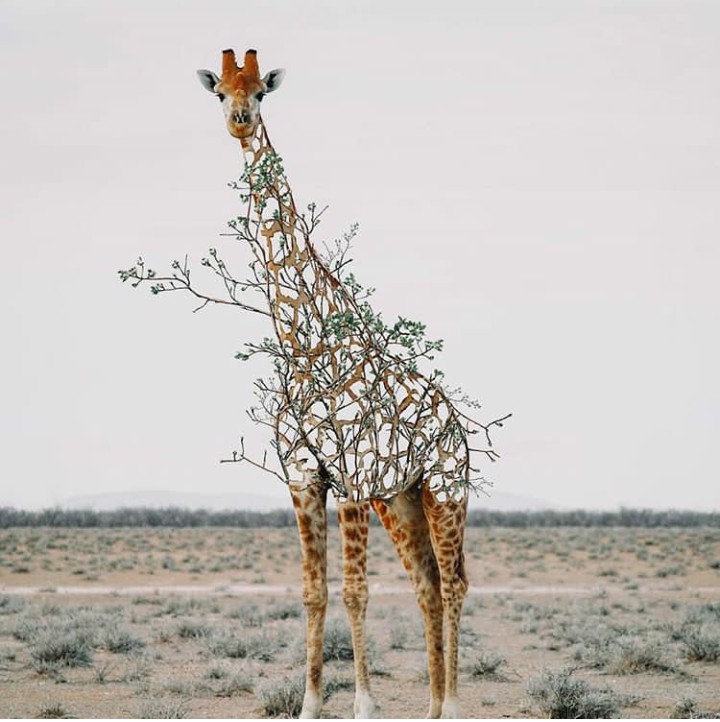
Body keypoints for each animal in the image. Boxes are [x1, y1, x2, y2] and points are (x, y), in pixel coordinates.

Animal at [198, 48, 480, 719]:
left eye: (261, 94)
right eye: (219, 92)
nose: (240, 121)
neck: (307, 347)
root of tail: (456, 423)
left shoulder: (348, 474)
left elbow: (354, 590)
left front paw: (364, 705)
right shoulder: (303, 477)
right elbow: (313, 592)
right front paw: (307, 704)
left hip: (446, 487)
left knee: (455, 583)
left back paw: (454, 704)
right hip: (401, 497)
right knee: (427, 582)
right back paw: (432, 707)